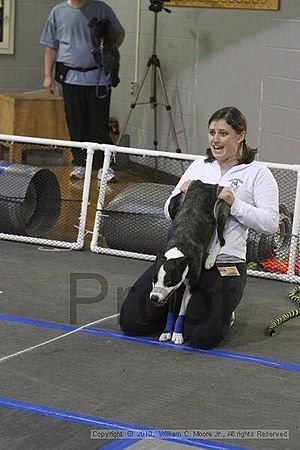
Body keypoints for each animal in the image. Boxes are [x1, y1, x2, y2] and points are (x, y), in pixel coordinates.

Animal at [149, 179, 230, 344]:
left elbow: (182, 311)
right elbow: (172, 310)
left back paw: (210, 259)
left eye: (168, 281)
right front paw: (167, 331)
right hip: (176, 200)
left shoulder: (191, 286)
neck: (179, 251)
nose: (154, 298)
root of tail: (206, 184)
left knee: (221, 238)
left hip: (220, 206)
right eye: (154, 279)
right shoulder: (173, 290)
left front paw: (177, 334)